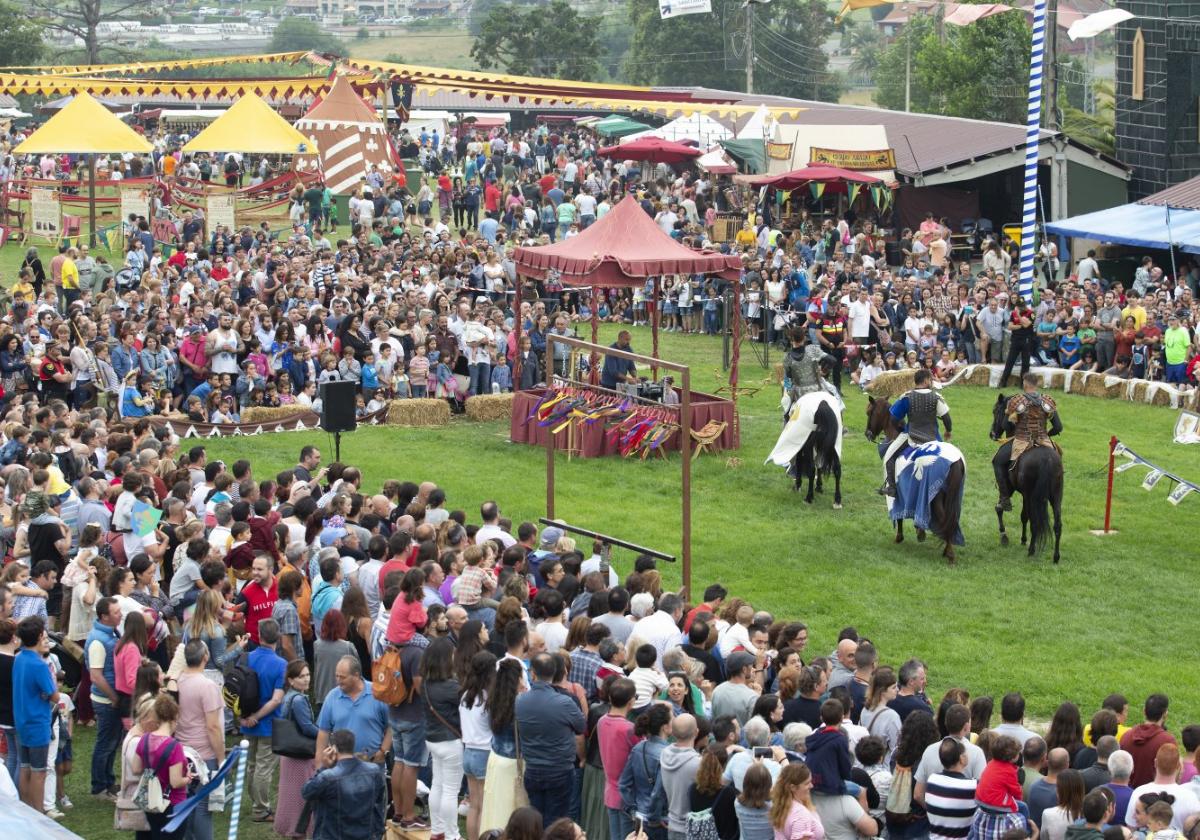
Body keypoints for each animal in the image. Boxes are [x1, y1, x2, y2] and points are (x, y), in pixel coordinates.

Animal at [864, 396, 964, 564]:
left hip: (937, 499)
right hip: (952, 497)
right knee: (951, 521)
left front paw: (900, 537)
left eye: (869, 412)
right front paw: (920, 532)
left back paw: (950, 554)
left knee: (945, 520)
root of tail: (953, 460)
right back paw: (947, 549)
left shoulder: (898, 497)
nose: (868, 433)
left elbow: (899, 515)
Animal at [988, 396, 1065, 564]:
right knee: (1057, 524)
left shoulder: (1014, 490)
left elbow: (1000, 508)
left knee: (1035, 522)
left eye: (996, 411)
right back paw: (1056, 557)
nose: (992, 434)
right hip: (1055, 495)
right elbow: (1024, 516)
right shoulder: (1025, 494)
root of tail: (1047, 460)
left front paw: (1004, 537)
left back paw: (1031, 550)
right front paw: (1023, 539)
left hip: (1032, 495)